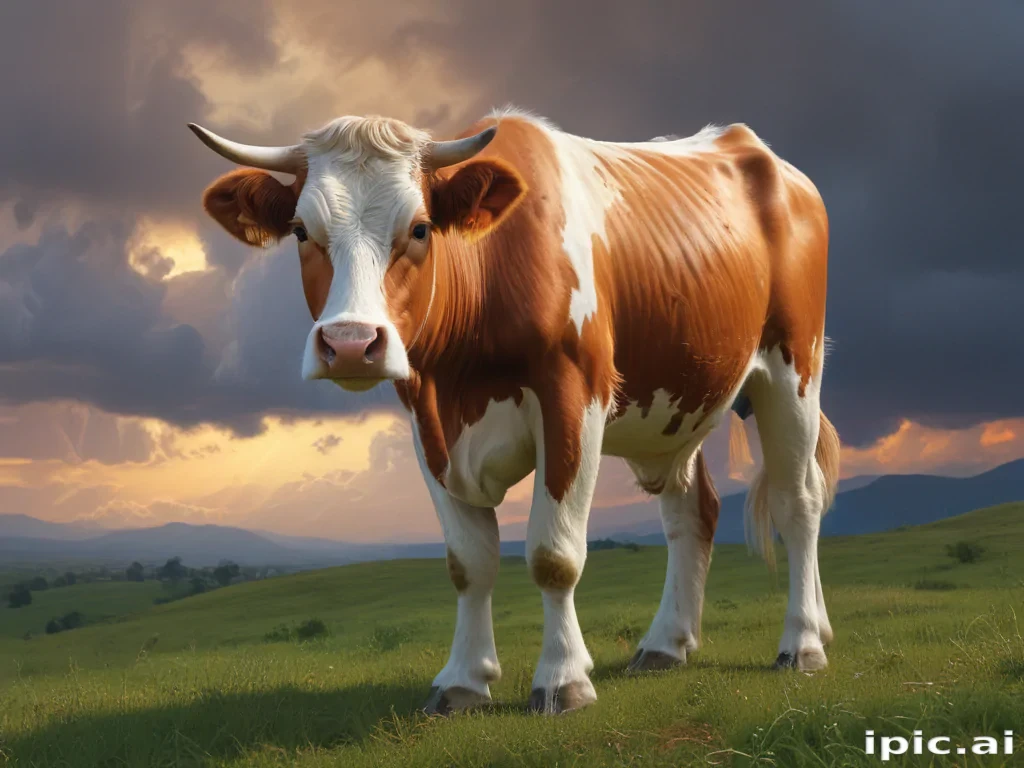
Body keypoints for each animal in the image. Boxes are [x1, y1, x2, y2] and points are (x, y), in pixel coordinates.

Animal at [188, 106, 840, 715]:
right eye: (301, 230)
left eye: (421, 228)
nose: (350, 343)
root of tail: (766, 156)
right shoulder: (427, 420)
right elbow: (468, 562)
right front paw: (463, 680)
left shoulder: (575, 396)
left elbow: (554, 555)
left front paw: (563, 680)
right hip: (678, 403)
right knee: (692, 514)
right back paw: (666, 643)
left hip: (793, 369)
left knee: (798, 501)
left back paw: (803, 642)